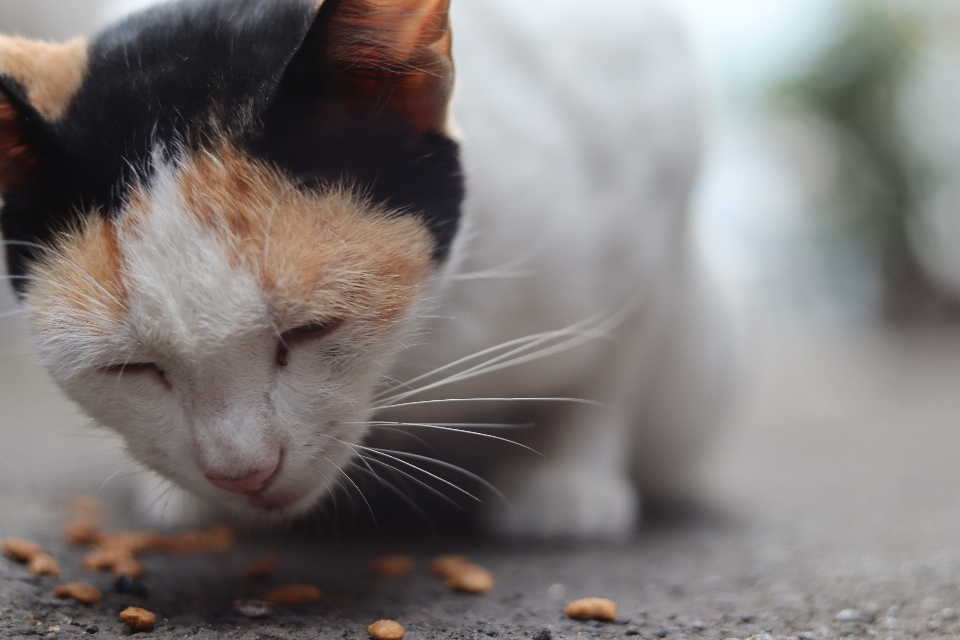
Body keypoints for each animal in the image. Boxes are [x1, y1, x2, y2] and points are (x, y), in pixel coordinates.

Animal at [0, 0, 732, 540]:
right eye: (129, 367)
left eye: (310, 331)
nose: (242, 474)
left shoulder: (660, 184)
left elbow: (616, 363)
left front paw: (568, 479)